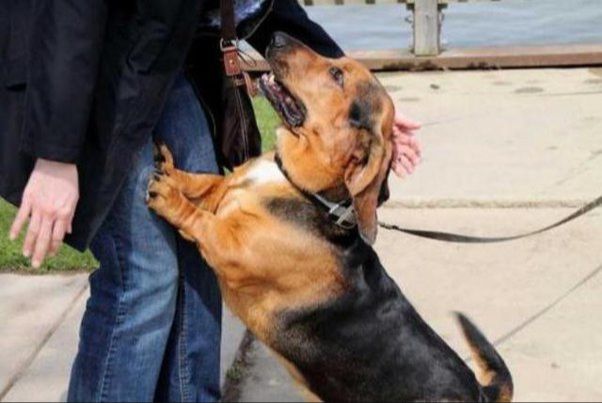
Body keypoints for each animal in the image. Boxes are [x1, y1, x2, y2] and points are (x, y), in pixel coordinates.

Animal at [146, 32, 510, 403]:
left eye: (337, 75)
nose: (276, 36)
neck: (301, 187)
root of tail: (479, 391)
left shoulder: (232, 250)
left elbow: (202, 221)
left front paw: (170, 197)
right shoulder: (223, 191)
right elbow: (206, 182)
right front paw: (173, 172)